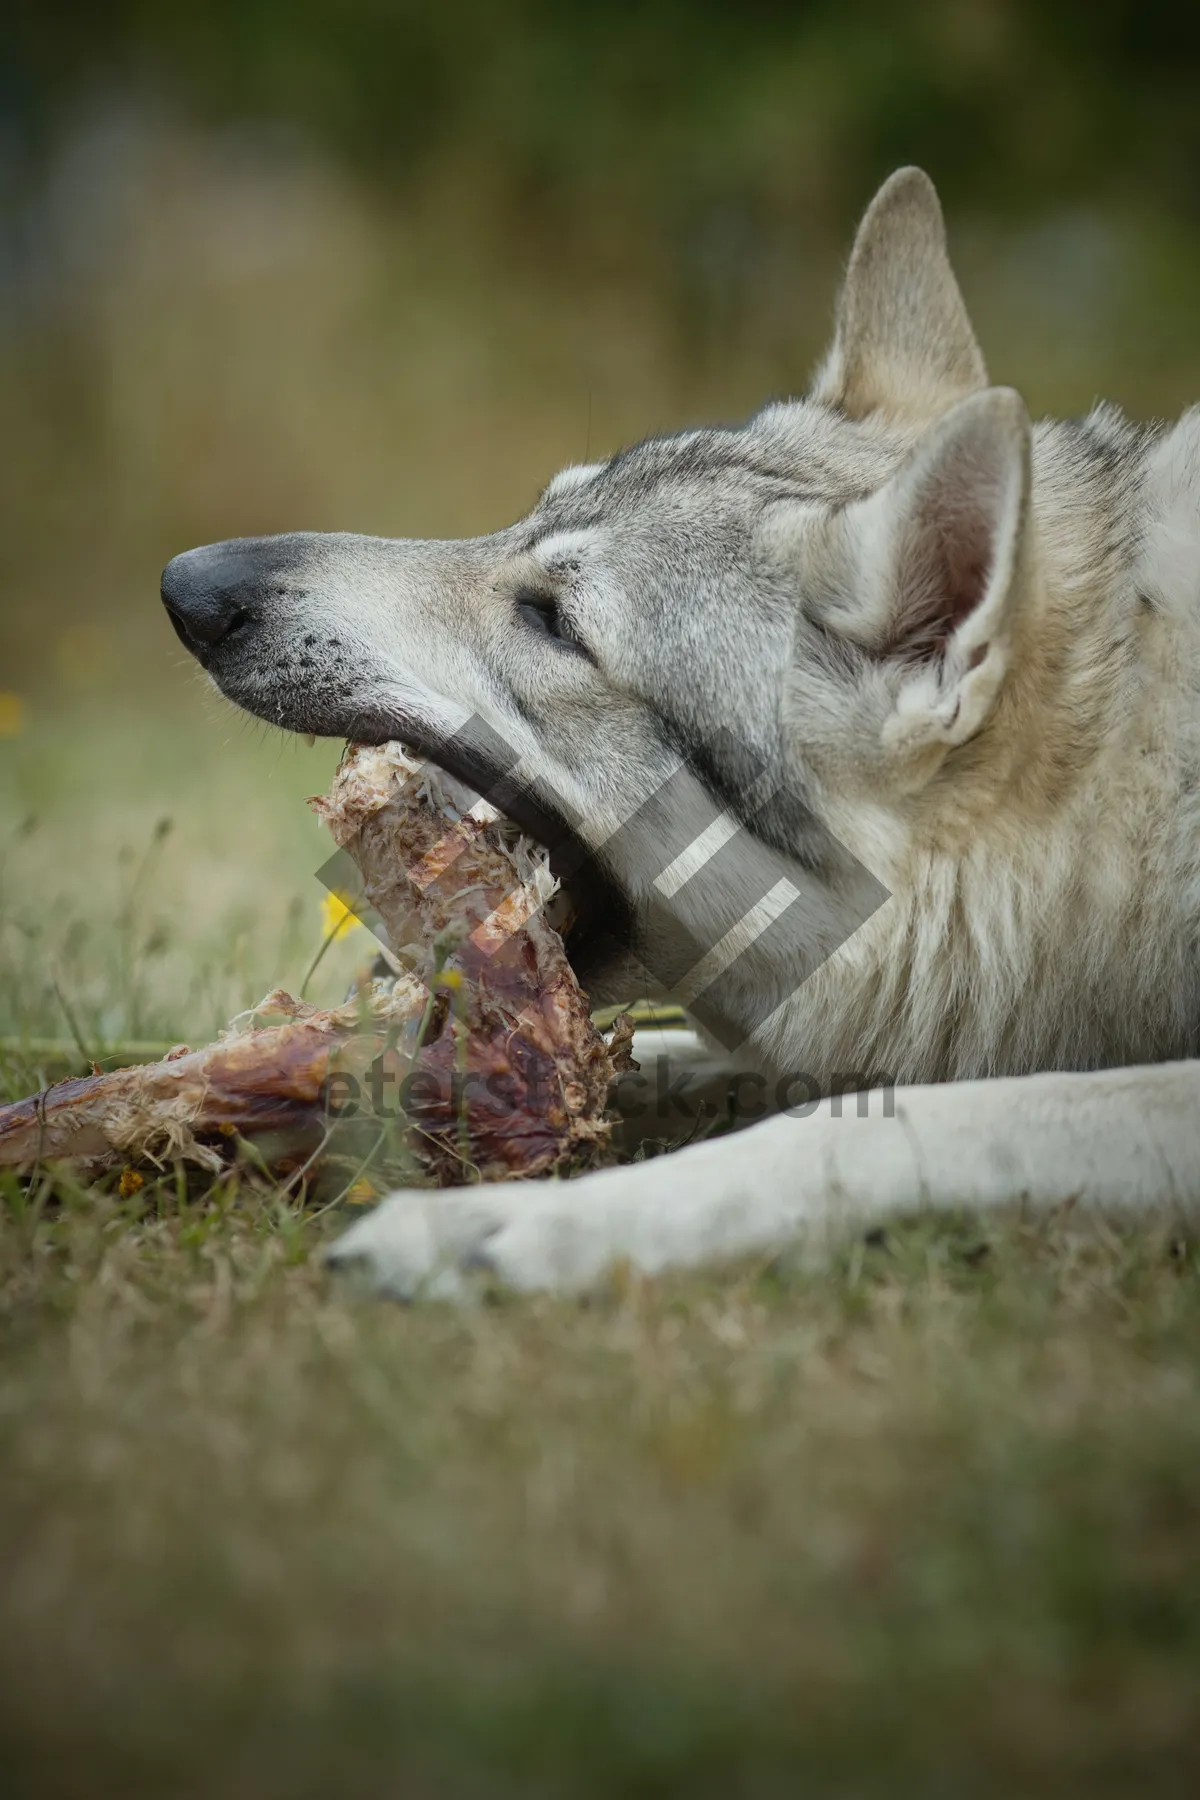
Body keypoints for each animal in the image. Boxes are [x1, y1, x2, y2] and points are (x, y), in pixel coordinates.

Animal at [161, 165, 1200, 1296]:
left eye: (555, 621)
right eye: (526, 517)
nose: (188, 588)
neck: (1120, 814)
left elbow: (872, 1124)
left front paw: (514, 1225)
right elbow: (671, 1064)